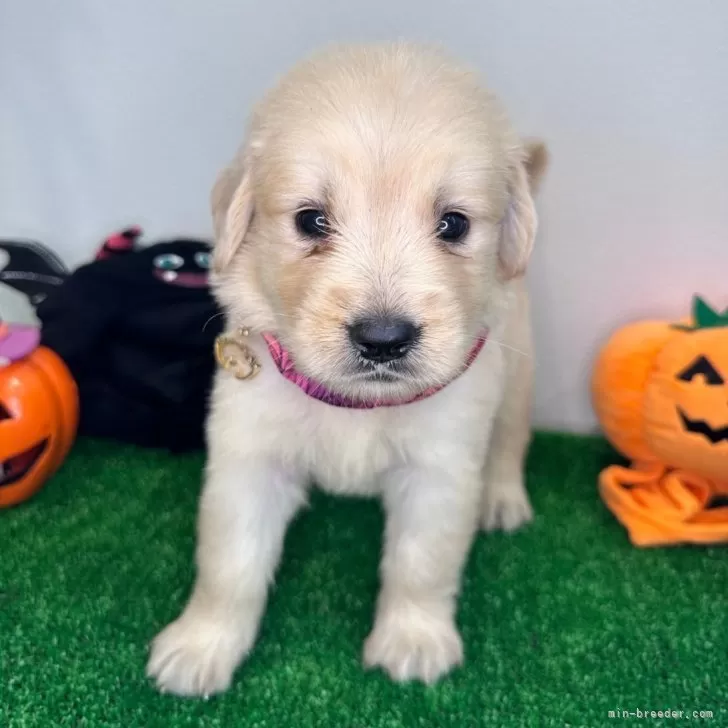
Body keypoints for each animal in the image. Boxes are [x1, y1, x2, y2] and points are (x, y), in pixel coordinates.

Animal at [146, 42, 544, 696]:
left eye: (454, 223)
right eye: (311, 220)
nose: (383, 340)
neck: (357, 402)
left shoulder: (439, 468)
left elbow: (420, 564)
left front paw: (413, 640)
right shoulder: (248, 456)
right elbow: (230, 566)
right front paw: (201, 645)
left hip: (517, 371)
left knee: (512, 439)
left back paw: (503, 500)